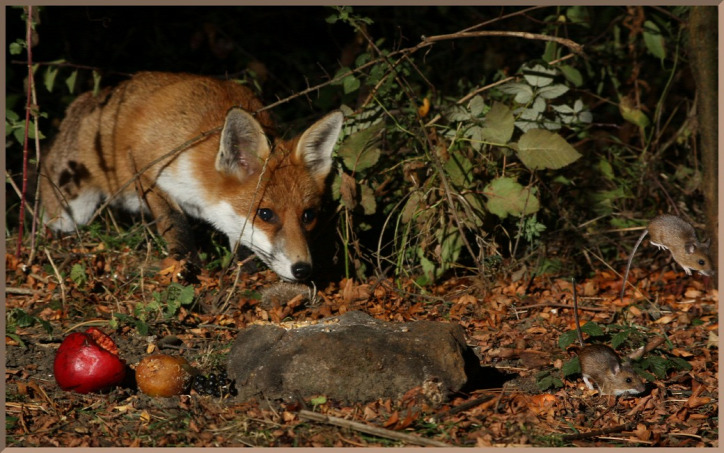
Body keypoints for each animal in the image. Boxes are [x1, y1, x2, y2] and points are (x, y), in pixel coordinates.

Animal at [39, 71, 346, 280]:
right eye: (266, 214)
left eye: (308, 215)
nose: (303, 269)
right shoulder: (146, 168)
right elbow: (176, 225)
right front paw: (186, 267)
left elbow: (240, 244)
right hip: (71, 210)